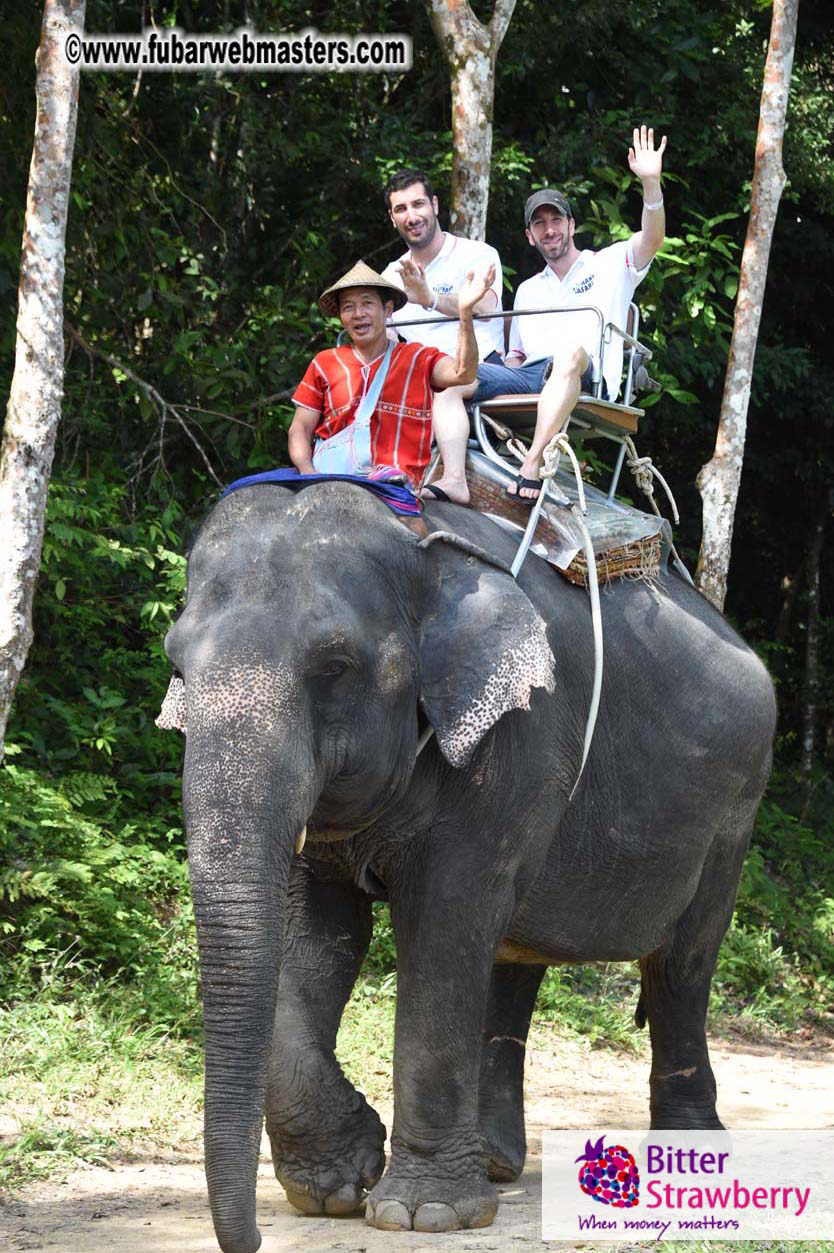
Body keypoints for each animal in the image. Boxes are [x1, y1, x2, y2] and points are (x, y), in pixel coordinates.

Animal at [162, 478, 776, 1253]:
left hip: (733, 811)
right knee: (517, 949)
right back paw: (493, 1162)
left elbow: (444, 921)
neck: (418, 545)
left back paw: (687, 1160)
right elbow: (315, 938)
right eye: (177, 666)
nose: (249, 1241)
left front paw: (421, 1214)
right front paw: (339, 1184)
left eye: (334, 667)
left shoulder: (518, 738)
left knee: (682, 964)